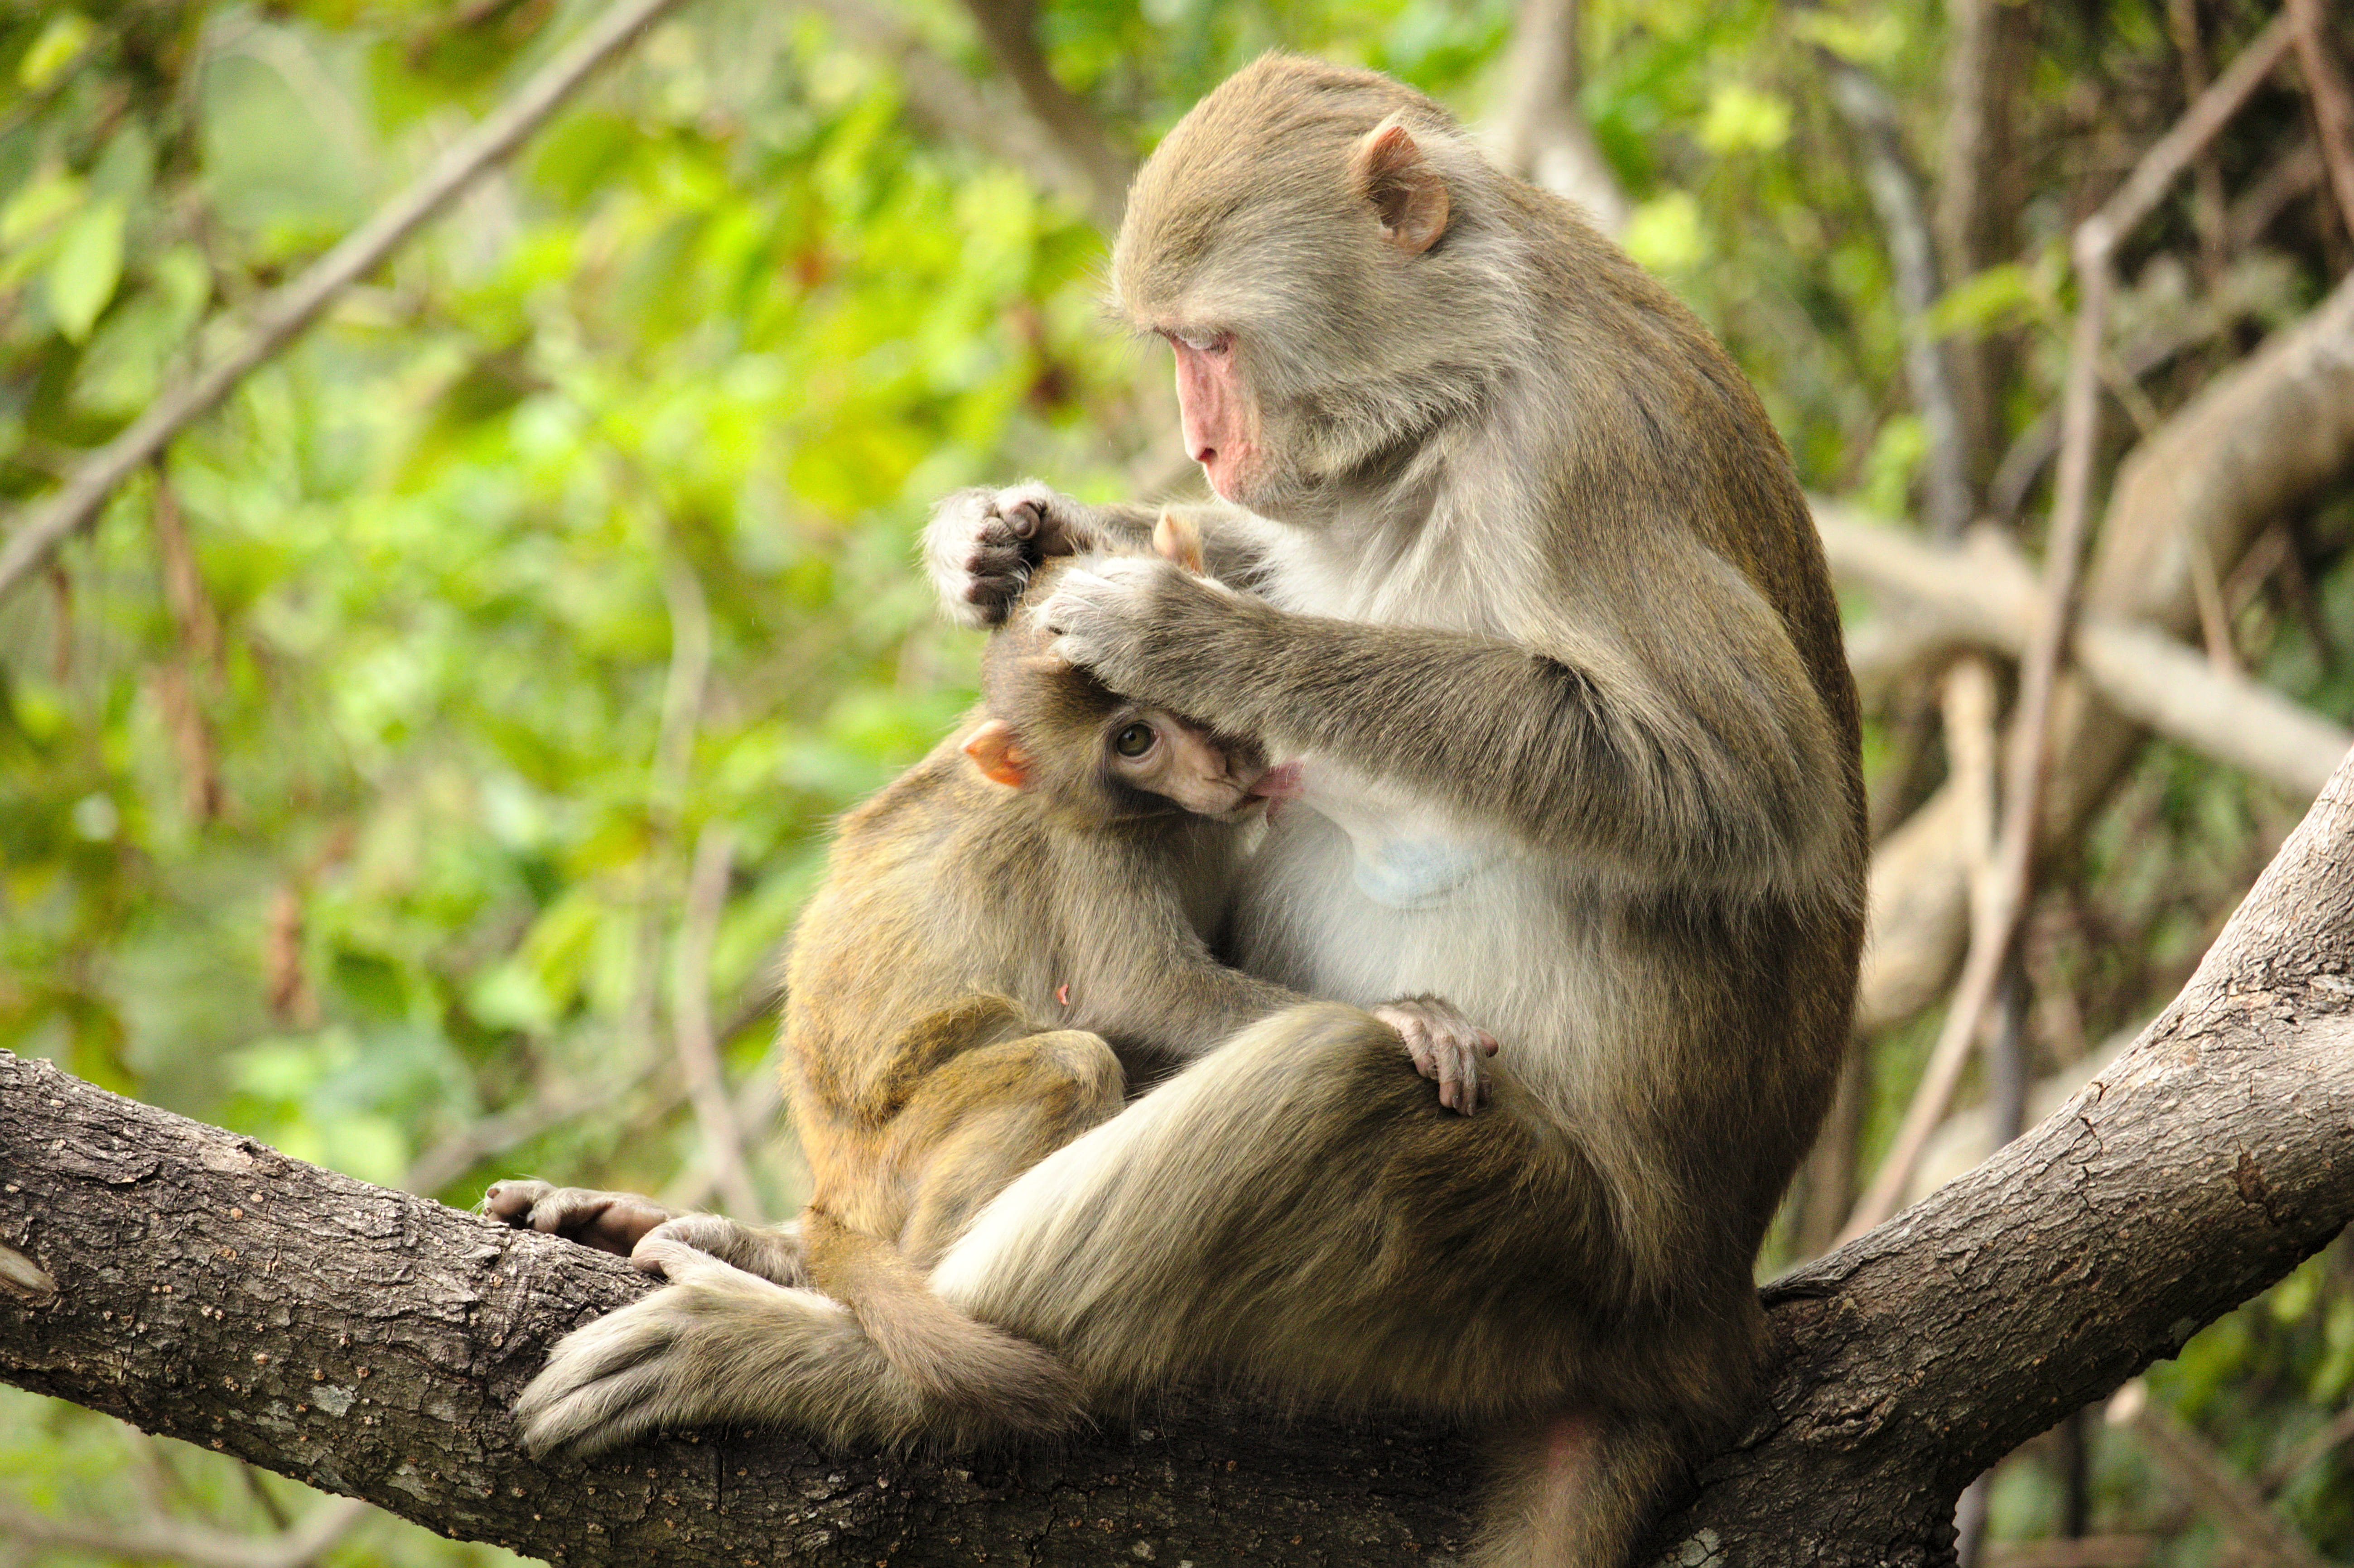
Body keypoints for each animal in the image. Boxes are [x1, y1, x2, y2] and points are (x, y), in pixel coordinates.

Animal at [509, 55, 1865, 1568]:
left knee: (1328, 1084)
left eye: (1208, 339)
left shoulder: (1572, 458)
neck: (1459, 390)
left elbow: (1737, 792)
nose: (1200, 444)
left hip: (1545, 1266)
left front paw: (1187, 627)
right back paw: (783, 1252)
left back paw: (850, 1361)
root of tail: (1695, 1326)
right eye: (1167, 345)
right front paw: (995, 537)